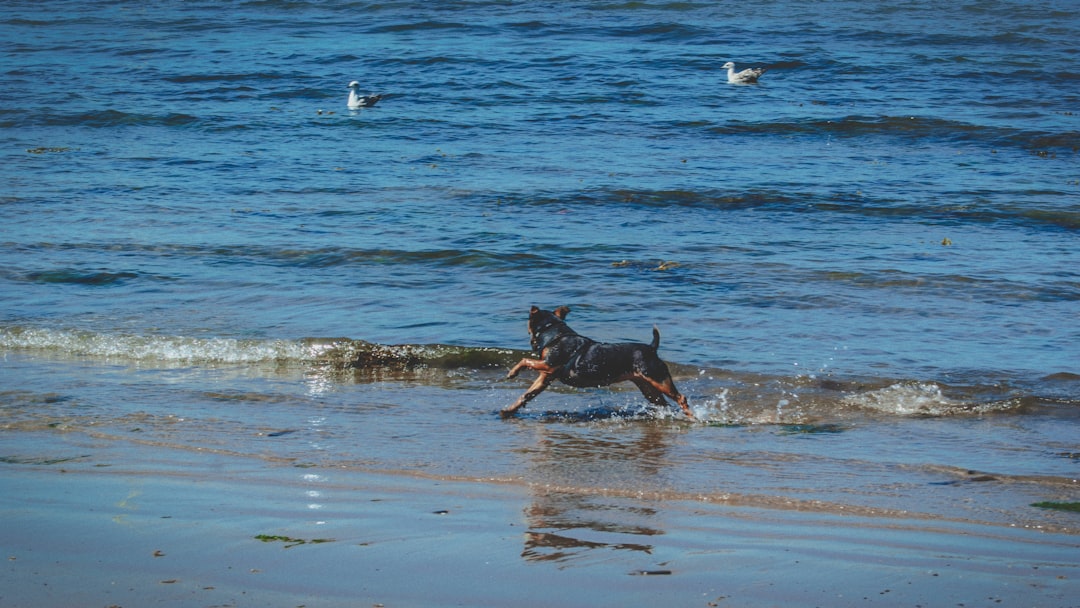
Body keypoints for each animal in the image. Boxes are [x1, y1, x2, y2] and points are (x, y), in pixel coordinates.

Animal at [503, 304, 691, 419]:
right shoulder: (545, 376)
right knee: (665, 404)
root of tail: (652, 349)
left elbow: (525, 360)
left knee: (681, 398)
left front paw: (512, 372)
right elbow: (527, 394)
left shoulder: (549, 365)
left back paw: (691, 417)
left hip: (658, 378)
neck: (554, 333)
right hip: (648, 388)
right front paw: (508, 411)